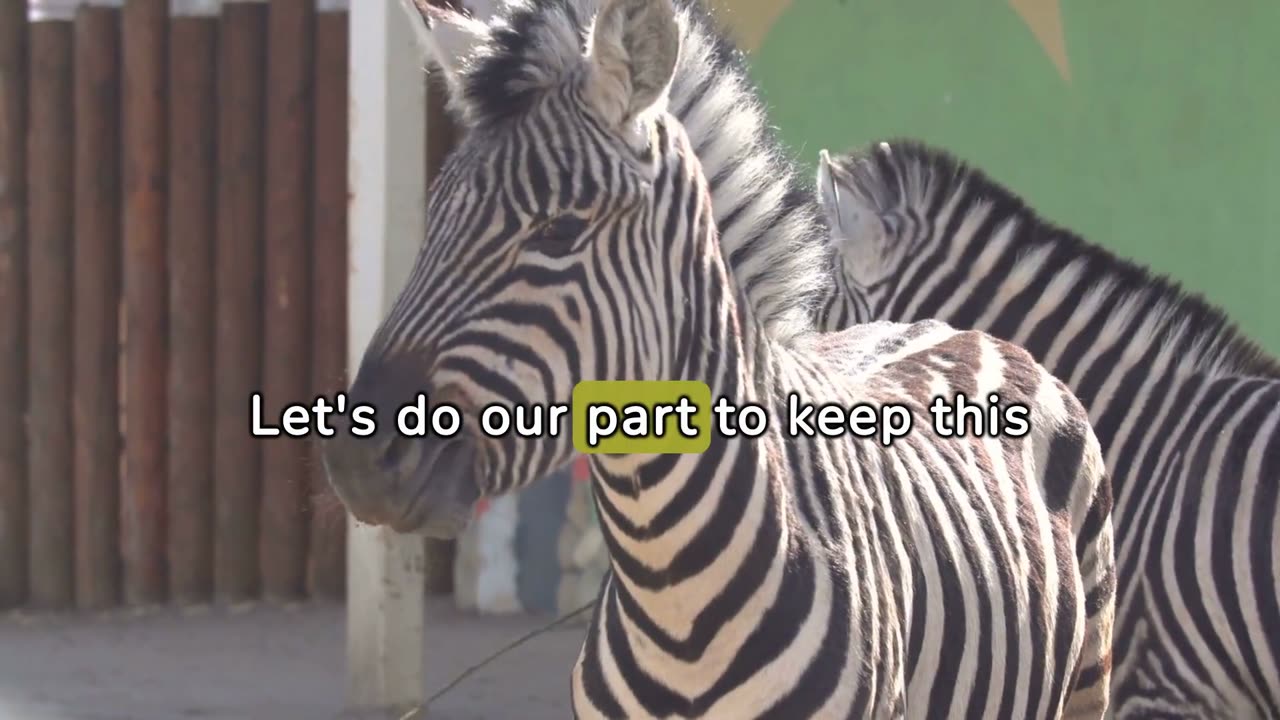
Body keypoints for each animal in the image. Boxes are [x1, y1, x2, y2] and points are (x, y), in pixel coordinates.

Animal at [325, 0, 1116, 712]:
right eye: (432, 222)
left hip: (1092, 673)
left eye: (558, 232)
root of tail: (952, 327)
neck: (672, 592)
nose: (360, 460)